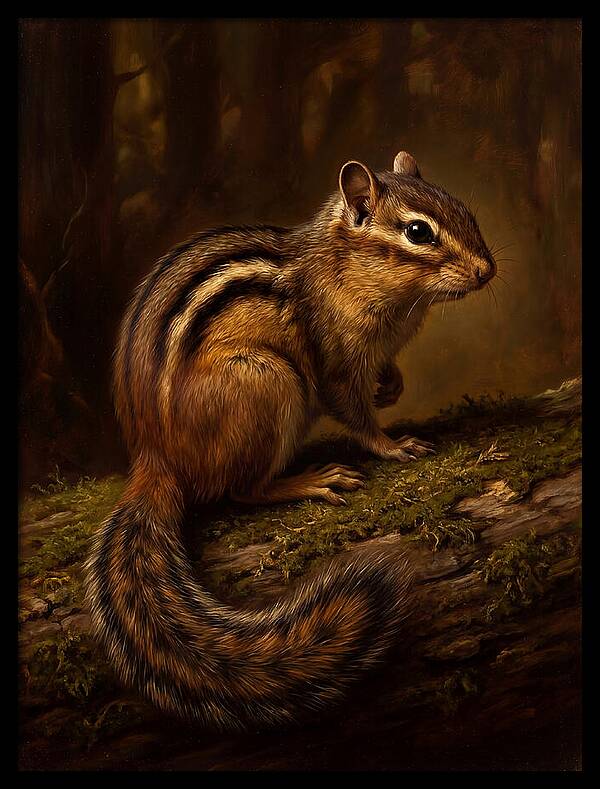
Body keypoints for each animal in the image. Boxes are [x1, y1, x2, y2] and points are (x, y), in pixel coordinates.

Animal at [85, 150, 496, 730]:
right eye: (418, 232)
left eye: (465, 210)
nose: (488, 270)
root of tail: (155, 457)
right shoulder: (335, 361)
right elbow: (354, 413)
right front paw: (393, 445)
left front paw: (392, 386)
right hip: (269, 382)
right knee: (241, 490)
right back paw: (311, 480)